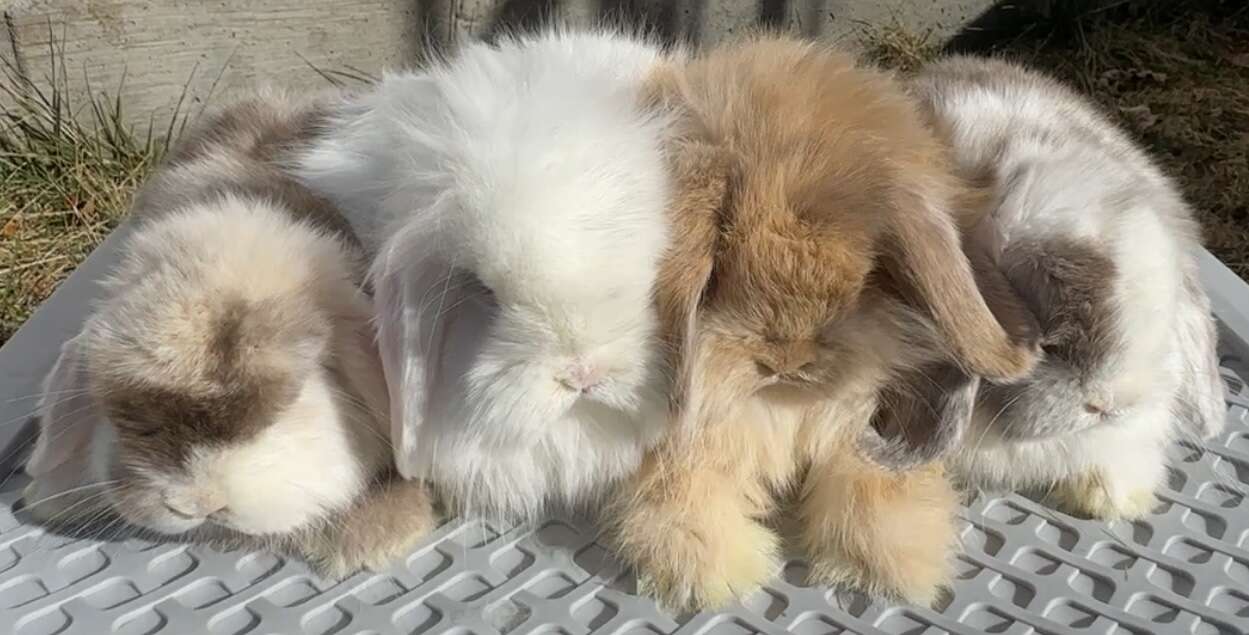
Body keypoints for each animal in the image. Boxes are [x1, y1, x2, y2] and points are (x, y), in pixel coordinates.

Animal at [607, 34, 1044, 610]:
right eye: (720, 269)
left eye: (868, 276)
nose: (787, 360)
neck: (782, 404)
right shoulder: (694, 441)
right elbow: (681, 485)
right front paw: (721, 571)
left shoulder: (860, 422)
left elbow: (869, 479)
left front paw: (884, 564)